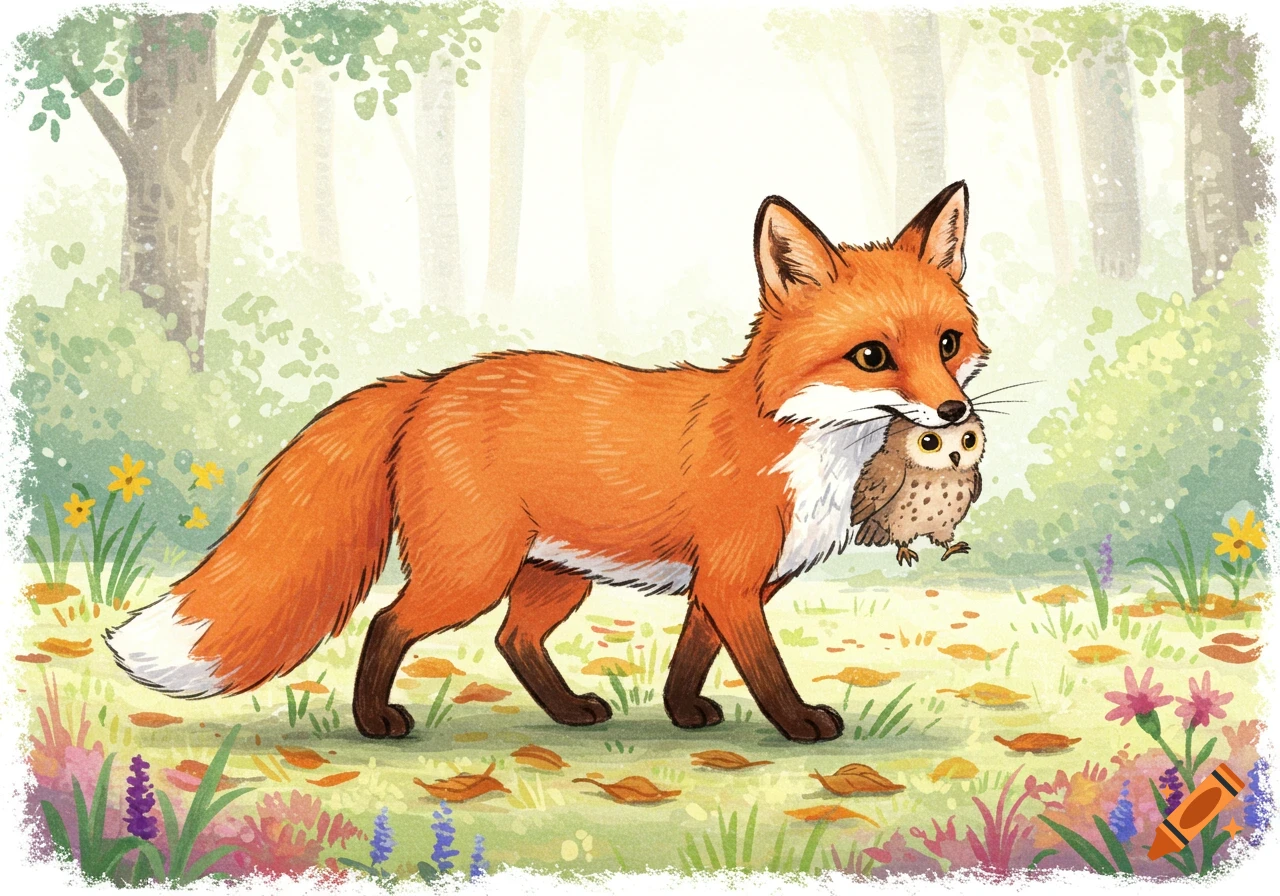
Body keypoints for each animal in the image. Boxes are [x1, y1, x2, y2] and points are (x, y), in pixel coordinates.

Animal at [105, 181, 989, 744]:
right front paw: (802, 726)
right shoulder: (736, 581)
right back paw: (377, 724)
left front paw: (683, 715)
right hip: (473, 569)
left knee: (512, 641)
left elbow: (690, 658)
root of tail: (429, 384)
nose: (954, 415)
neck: (806, 443)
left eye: (947, 344)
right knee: (389, 622)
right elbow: (765, 667)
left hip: (552, 575)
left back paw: (567, 714)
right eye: (872, 356)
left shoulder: (728, 587)